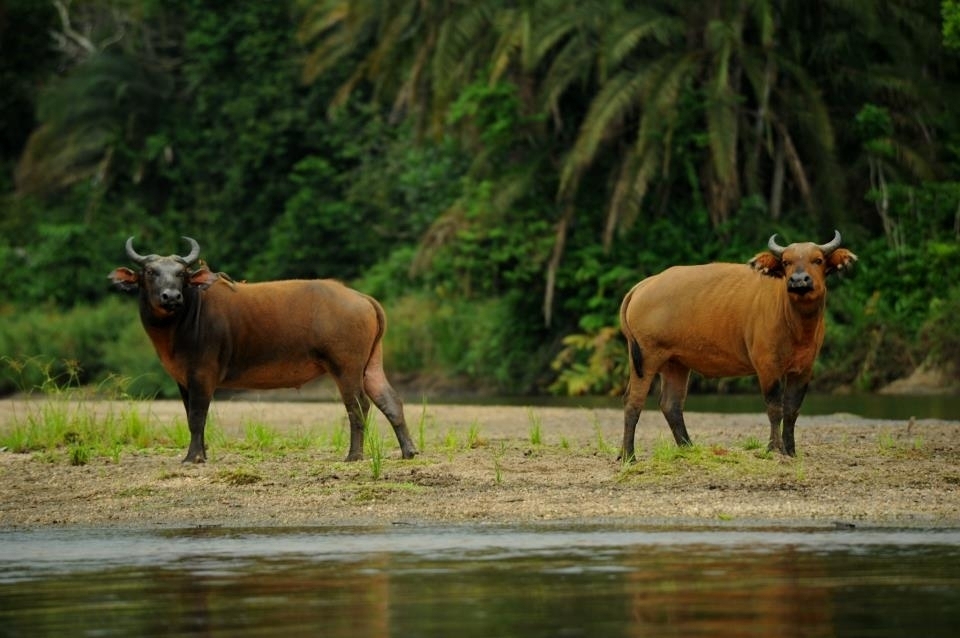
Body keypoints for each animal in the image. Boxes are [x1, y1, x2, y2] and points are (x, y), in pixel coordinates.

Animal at [109, 239, 416, 464]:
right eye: (150, 272)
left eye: (181, 274)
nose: (171, 296)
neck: (184, 320)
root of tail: (361, 297)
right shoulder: (183, 379)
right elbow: (191, 416)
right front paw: (202, 454)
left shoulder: (202, 374)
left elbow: (197, 416)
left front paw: (193, 458)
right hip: (370, 364)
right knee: (389, 399)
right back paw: (408, 450)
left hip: (346, 367)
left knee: (358, 405)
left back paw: (354, 455)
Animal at [620, 232, 860, 462]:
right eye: (786, 262)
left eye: (818, 260)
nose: (799, 280)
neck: (797, 327)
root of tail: (645, 284)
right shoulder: (767, 366)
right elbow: (775, 408)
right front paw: (774, 448)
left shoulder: (804, 368)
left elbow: (792, 410)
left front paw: (790, 450)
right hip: (645, 357)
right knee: (633, 402)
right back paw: (628, 456)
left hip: (675, 363)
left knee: (671, 405)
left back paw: (688, 448)